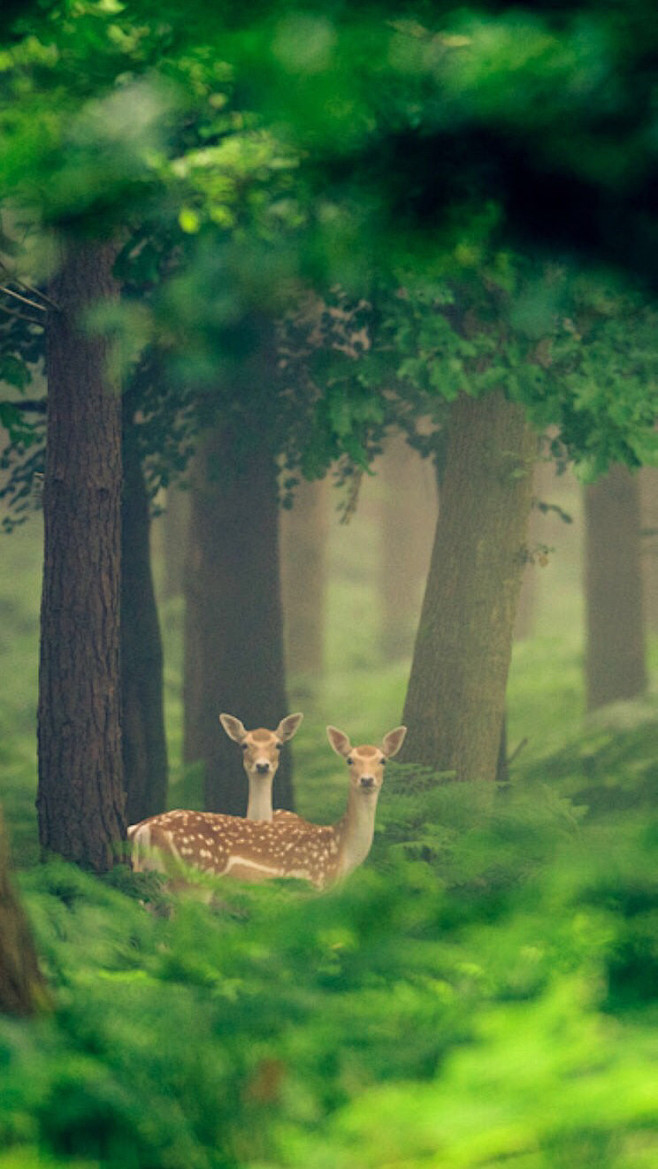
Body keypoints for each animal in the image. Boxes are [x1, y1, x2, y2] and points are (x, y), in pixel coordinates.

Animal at [127, 720, 406, 893]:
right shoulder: (307, 888)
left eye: (383, 760)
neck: (340, 853)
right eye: (350, 760)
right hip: (192, 880)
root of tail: (142, 829)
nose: (366, 780)